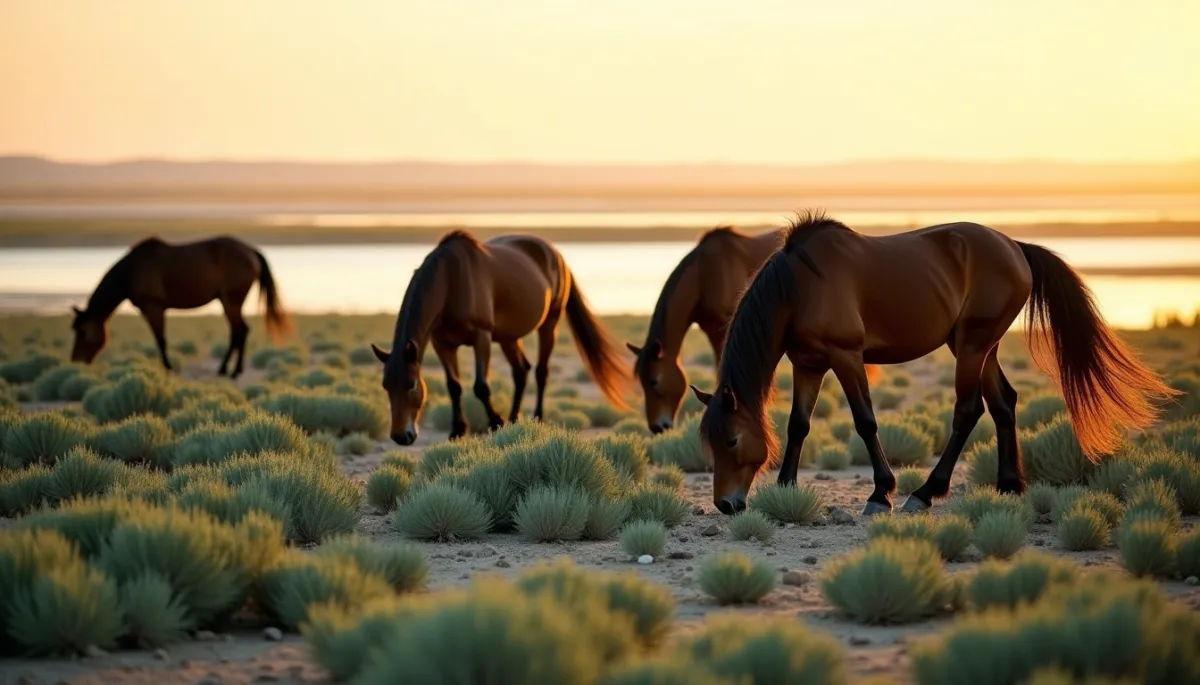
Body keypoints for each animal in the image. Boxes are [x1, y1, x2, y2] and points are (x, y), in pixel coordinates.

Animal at [70, 236, 291, 379]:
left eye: (82, 332)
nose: (76, 360)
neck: (132, 271)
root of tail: (251, 252)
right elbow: (160, 340)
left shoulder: (153, 308)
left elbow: (160, 340)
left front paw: (168, 369)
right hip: (227, 302)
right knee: (237, 332)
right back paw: (227, 369)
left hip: (231, 302)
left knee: (240, 331)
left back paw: (231, 371)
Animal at [372, 230, 631, 446]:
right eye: (385, 386)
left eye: (411, 384)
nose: (401, 436)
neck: (451, 281)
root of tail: (556, 254)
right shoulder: (442, 344)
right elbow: (454, 386)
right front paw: (458, 430)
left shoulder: (482, 337)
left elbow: (481, 387)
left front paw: (496, 422)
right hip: (509, 338)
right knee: (521, 371)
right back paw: (515, 418)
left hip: (549, 323)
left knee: (540, 371)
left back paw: (537, 417)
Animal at [690, 211, 1175, 517]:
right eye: (708, 442)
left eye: (732, 440)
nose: (726, 505)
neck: (799, 287)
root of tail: (1015, 247)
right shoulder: (808, 364)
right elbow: (798, 426)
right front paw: (786, 488)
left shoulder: (846, 357)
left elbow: (865, 421)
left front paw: (881, 493)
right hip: (978, 347)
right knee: (1004, 403)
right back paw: (1008, 485)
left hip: (973, 345)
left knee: (969, 410)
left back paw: (926, 493)